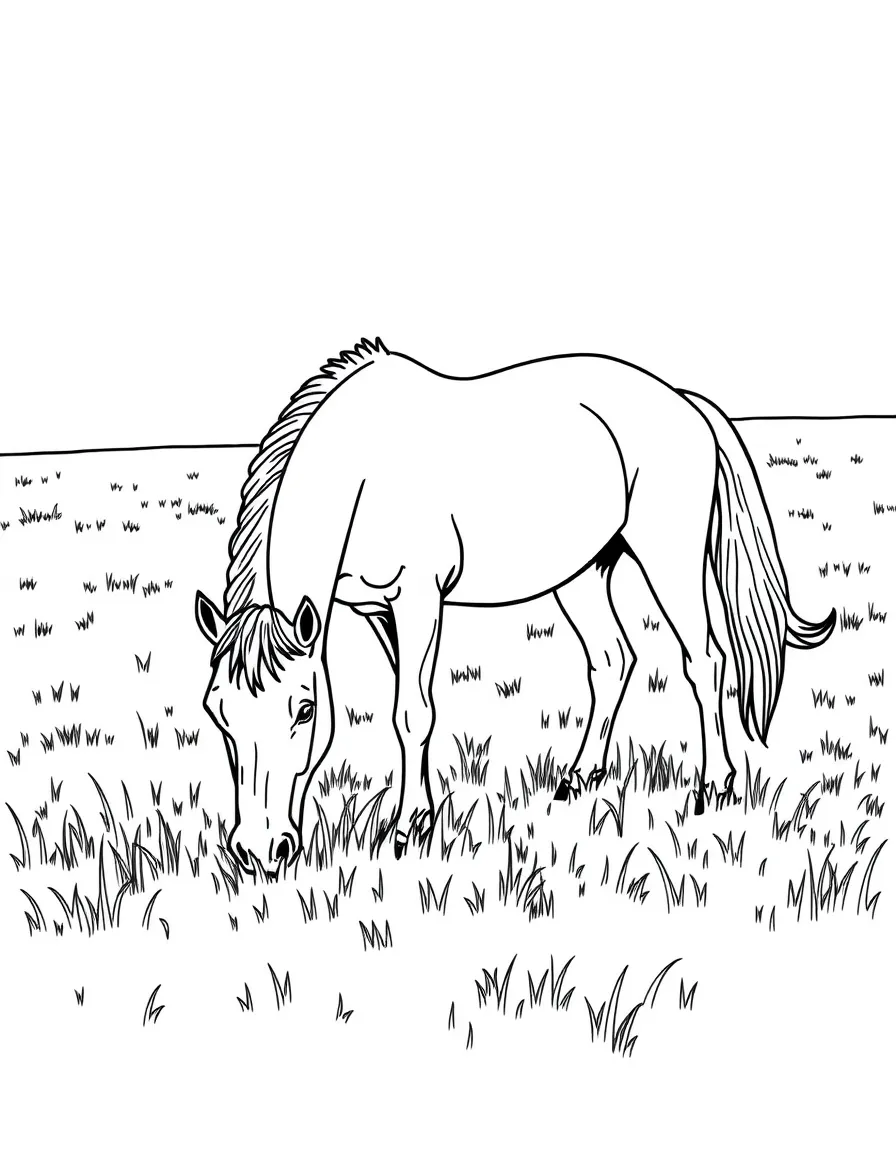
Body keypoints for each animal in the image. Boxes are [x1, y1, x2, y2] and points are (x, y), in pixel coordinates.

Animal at [195, 338, 835, 874]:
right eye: (217, 712)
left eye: (304, 710)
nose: (257, 852)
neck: (359, 474)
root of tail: (684, 402)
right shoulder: (375, 610)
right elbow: (405, 712)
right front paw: (423, 812)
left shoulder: (420, 598)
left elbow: (413, 713)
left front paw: (408, 830)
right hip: (583, 572)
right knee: (612, 661)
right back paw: (579, 778)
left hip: (667, 559)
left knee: (704, 661)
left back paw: (714, 788)